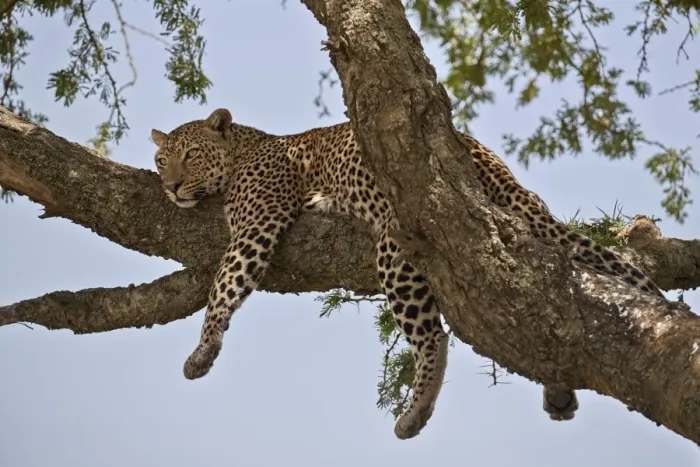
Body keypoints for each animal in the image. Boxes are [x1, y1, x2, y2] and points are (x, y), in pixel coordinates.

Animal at [151, 108, 664, 439]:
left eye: (191, 154)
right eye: (161, 159)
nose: (170, 186)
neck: (244, 149)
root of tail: (482, 161)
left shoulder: (258, 224)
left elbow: (224, 284)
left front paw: (202, 351)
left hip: (396, 249)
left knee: (434, 336)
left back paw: (415, 413)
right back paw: (556, 390)